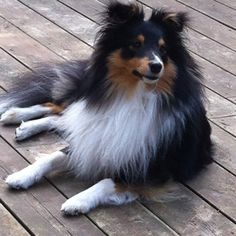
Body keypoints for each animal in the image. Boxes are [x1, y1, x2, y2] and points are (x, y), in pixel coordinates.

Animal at [0, 1, 214, 216]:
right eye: (136, 44)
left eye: (163, 49)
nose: (157, 66)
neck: (132, 95)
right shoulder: (94, 136)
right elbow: (53, 156)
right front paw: (22, 175)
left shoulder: (153, 169)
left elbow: (107, 181)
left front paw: (77, 201)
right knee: (59, 108)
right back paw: (15, 115)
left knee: (62, 117)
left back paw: (23, 125)